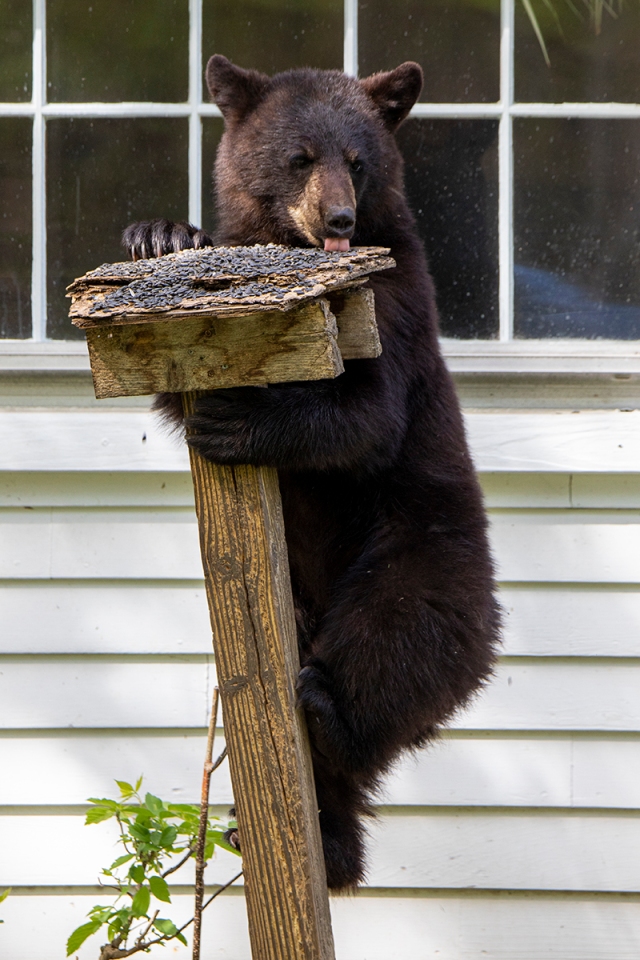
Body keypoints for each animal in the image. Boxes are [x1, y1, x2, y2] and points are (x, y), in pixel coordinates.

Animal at [124, 52, 500, 892]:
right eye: (299, 157)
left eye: (358, 161)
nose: (339, 221)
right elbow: (165, 368)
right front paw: (158, 233)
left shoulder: (394, 302)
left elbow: (369, 414)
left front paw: (238, 419)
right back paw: (321, 837)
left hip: (419, 560)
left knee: (396, 645)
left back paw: (332, 715)